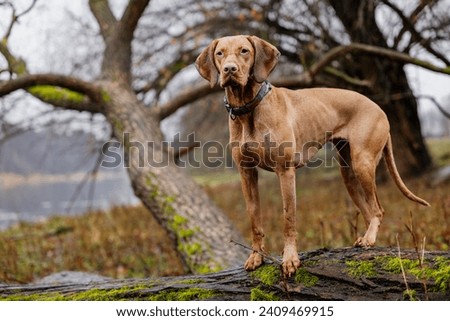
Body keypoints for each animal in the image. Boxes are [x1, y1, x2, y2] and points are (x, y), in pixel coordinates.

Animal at [195, 34, 430, 276]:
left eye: (244, 51)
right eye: (220, 53)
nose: (229, 69)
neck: (248, 108)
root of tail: (380, 109)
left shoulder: (285, 171)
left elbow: (288, 218)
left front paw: (290, 258)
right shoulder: (246, 173)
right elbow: (254, 218)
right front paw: (256, 256)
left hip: (362, 163)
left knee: (378, 210)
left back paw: (369, 238)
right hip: (348, 173)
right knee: (368, 210)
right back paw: (366, 239)